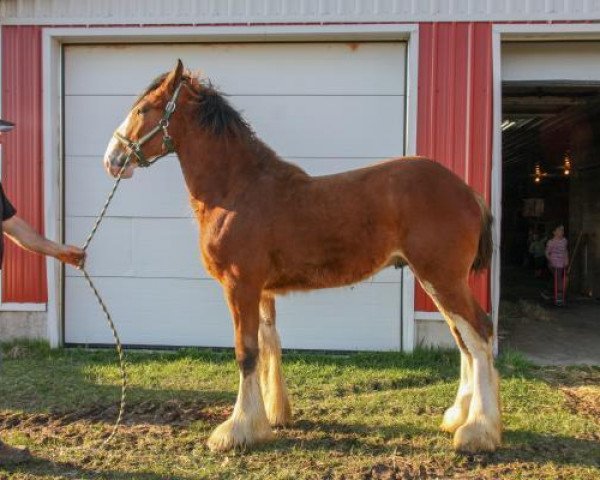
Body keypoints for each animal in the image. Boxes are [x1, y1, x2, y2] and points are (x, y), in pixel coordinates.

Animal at [104, 61, 502, 454]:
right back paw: (458, 417)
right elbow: (269, 344)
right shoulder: (261, 290)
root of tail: (467, 191)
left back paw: (478, 432)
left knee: (479, 334)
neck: (238, 189)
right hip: (436, 281)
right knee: (464, 340)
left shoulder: (239, 286)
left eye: (143, 109)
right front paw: (272, 417)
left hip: (442, 278)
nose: (112, 159)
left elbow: (246, 352)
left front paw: (236, 431)